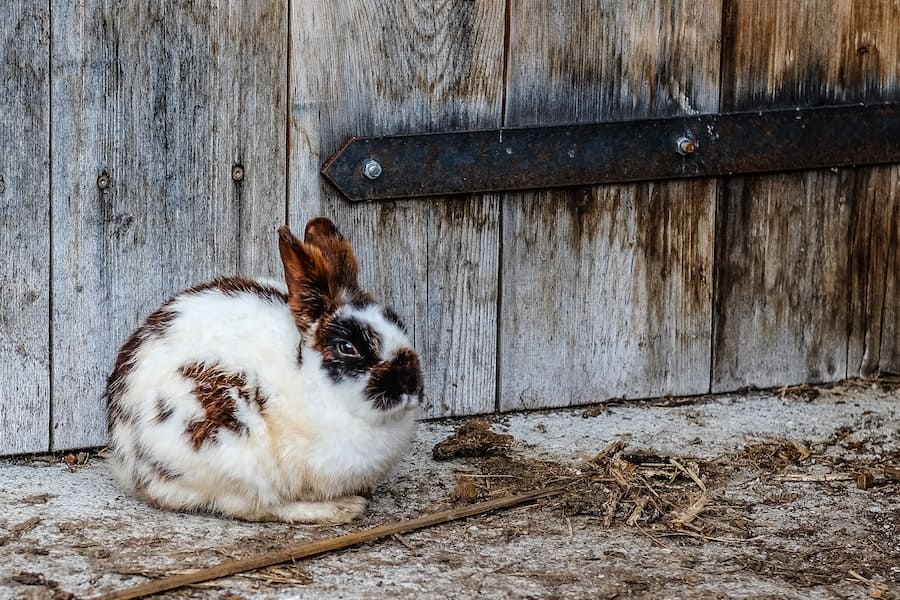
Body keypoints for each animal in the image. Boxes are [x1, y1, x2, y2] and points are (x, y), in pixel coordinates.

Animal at [104, 218, 422, 524]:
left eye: (400, 324)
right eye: (347, 347)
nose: (410, 382)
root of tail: (128, 460)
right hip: (231, 447)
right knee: (258, 506)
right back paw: (341, 509)